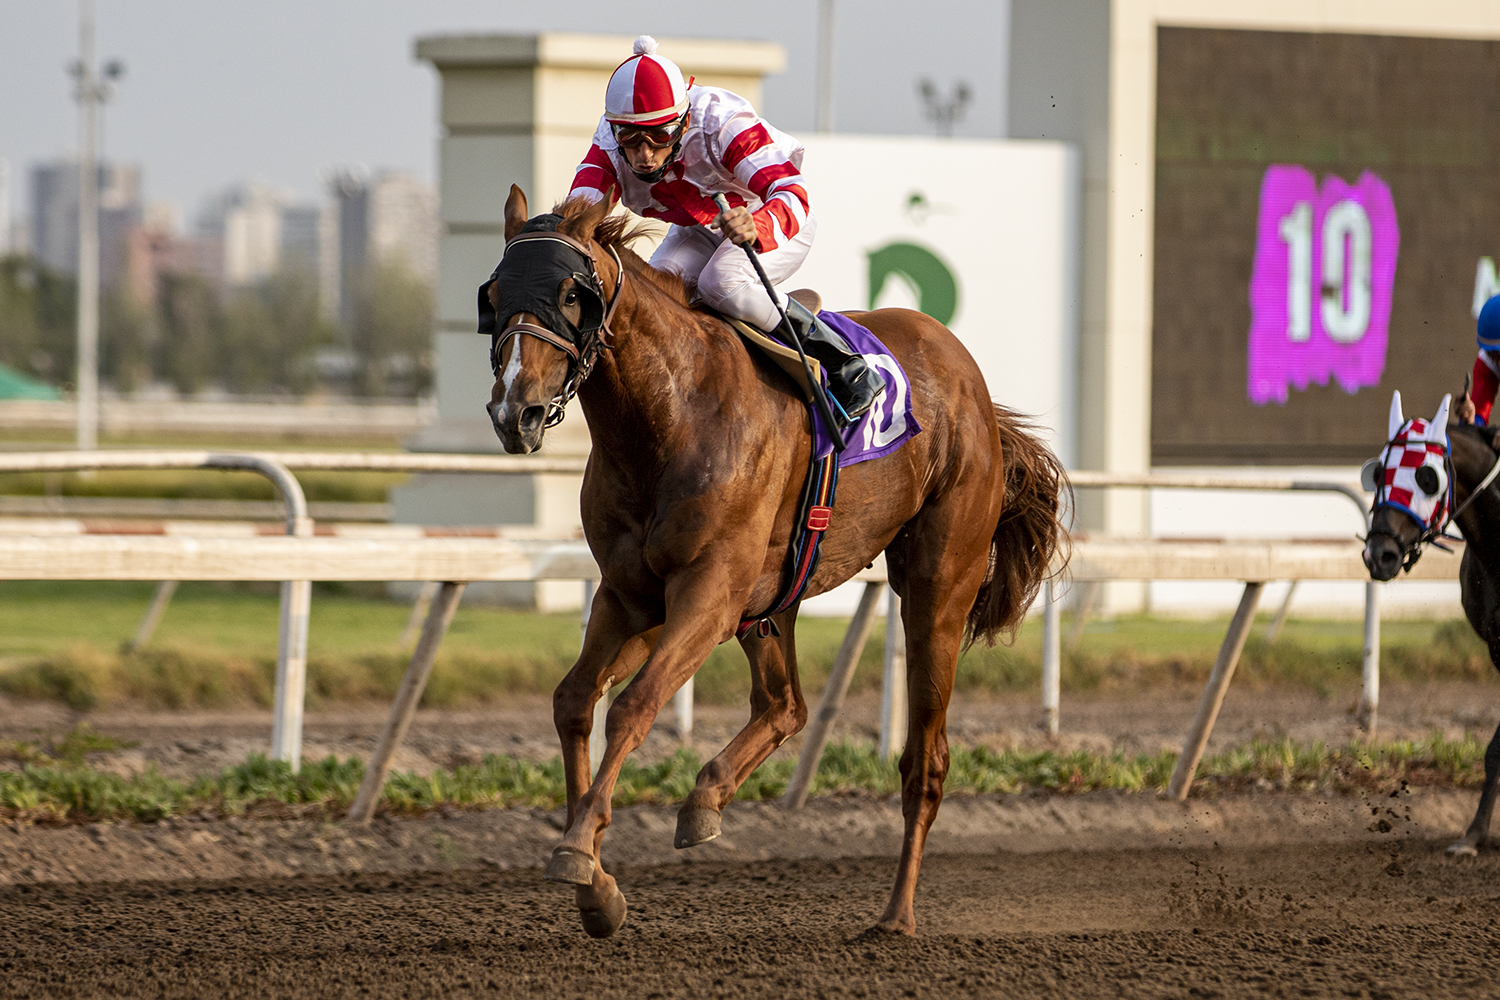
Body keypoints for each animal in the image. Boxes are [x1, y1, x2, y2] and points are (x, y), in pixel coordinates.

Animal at [483, 187, 1068, 937]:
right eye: (494, 294)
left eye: (569, 294)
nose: (515, 413)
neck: (670, 415)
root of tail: (972, 383)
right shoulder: (630, 593)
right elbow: (575, 702)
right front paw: (597, 888)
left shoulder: (709, 590)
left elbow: (635, 704)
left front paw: (579, 852)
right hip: (773, 597)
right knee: (786, 705)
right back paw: (707, 799)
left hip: (939, 584)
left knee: (925, 759)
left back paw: (896, 915)